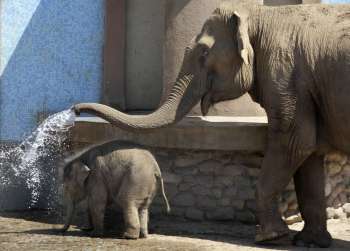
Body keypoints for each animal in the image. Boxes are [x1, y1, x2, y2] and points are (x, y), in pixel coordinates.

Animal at [73, 1, 348, 249]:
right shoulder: (304, 87)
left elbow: (294, 142)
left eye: (203, 53)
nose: (75, 109)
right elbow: (310, 151)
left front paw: (270, 237)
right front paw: (309, 242)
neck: (260, 14)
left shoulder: (285, 74)